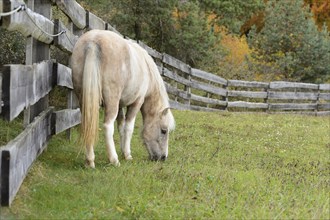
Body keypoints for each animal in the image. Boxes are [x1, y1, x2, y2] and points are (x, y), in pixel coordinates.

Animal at [70, 29, 175, 167]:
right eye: (163, 131)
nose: (163, 157)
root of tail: (93, 41)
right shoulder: (136, 103)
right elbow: (128, 128)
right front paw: (127, 154)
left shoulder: (120, 105)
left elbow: (121, 127)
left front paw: (122, 150)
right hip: (111, 101)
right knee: (108, 126)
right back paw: (114, 160)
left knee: (88, 126)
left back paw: (90, 161)